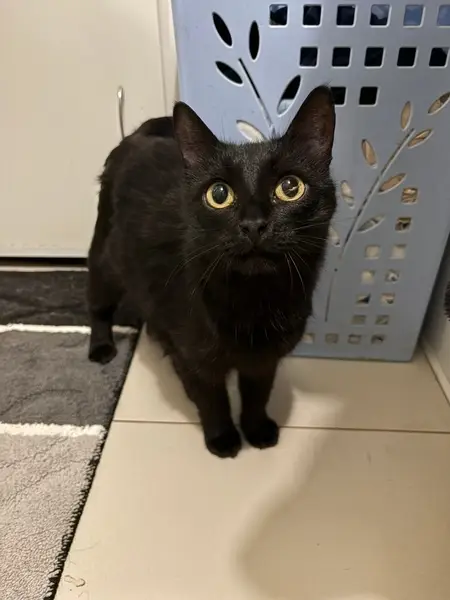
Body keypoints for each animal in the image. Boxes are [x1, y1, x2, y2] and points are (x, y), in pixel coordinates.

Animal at [87, 86, 336, 458]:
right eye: (219, 194)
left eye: (290, 188)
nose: (253, 224)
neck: (255, 300)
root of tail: (139, 132)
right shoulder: (194, 360)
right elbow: (212, 400)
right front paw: (223, 439)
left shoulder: (265, 358)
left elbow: (257, 394)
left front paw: (256, 430)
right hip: (106, 259)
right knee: (97, 304)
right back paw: (101, 347)